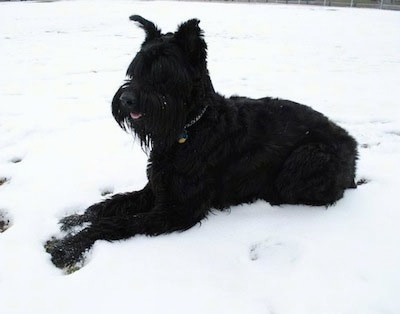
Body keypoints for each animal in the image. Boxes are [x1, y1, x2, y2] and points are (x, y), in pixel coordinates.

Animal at [45, 15, 358, 268]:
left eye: (164, 74)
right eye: (136, 68)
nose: (126, 99)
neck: (189, 129)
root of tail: (352, 145)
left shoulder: (179, 210)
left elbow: (117, 222)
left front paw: (68, 245)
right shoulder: (156, 187)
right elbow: (109, 206)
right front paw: (73, 220)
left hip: (309, 157)